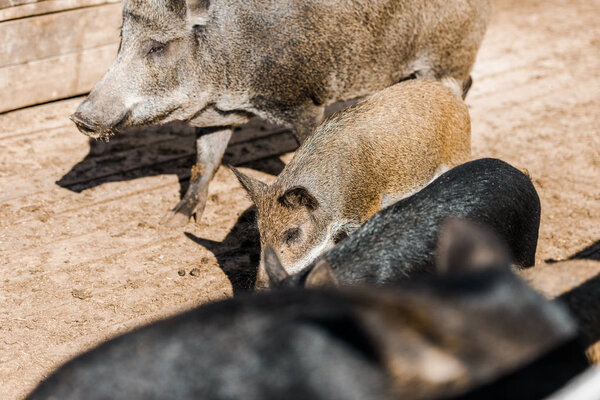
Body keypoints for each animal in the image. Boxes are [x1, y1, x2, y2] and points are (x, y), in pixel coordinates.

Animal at [72, 0, 490, 227]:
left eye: (156, 47)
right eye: (122, 41)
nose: (79, 117)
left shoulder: (304, 102)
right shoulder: (218, 117)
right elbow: (203, 164)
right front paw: (172, 221)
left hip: (449, 57)